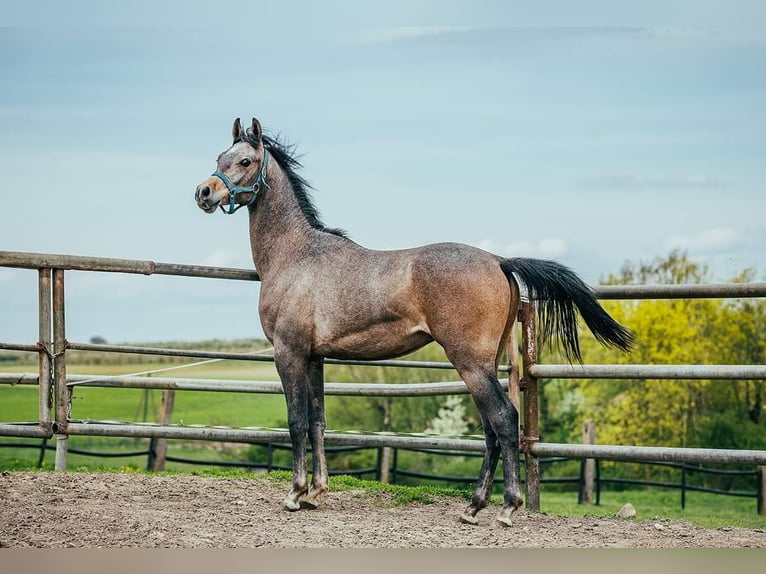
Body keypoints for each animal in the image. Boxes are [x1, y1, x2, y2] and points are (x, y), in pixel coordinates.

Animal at [194, 117, 636, 528]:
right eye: (220, 157)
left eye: (245, 161)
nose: (204, 193)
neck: (297, 255)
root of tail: (498, 260)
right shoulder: (315, 358)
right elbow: (319, 422)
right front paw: (316, 493)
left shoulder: (288, 354)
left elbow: (296, 422)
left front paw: (295, 493)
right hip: (484, 364)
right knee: (490, 429)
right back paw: (473, 507)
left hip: (470, 363)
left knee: (504, 421)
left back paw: (506, 508)